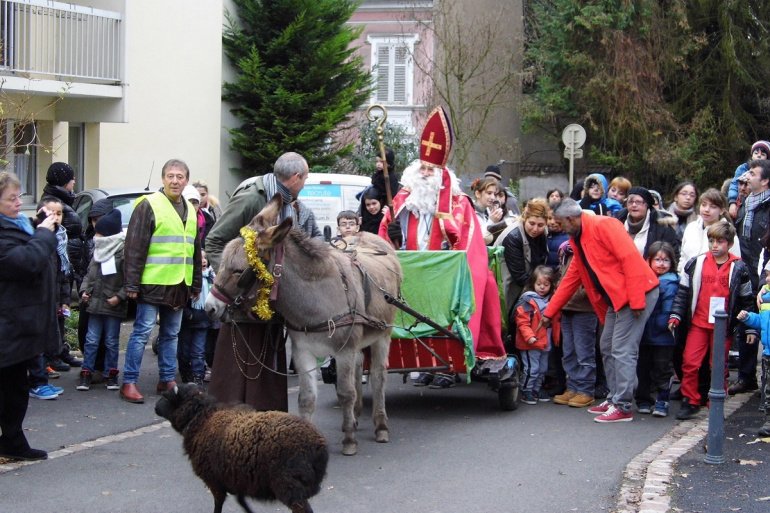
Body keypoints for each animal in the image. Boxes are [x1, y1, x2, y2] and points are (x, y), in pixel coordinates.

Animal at [154, 384, 326, 512]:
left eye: (166, 396)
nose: (155, 407)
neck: (202, 420)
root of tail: (319, 445)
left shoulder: (214, 481)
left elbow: (219, 504)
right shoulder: (237, 476)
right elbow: (240, 500)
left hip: (289, 486)